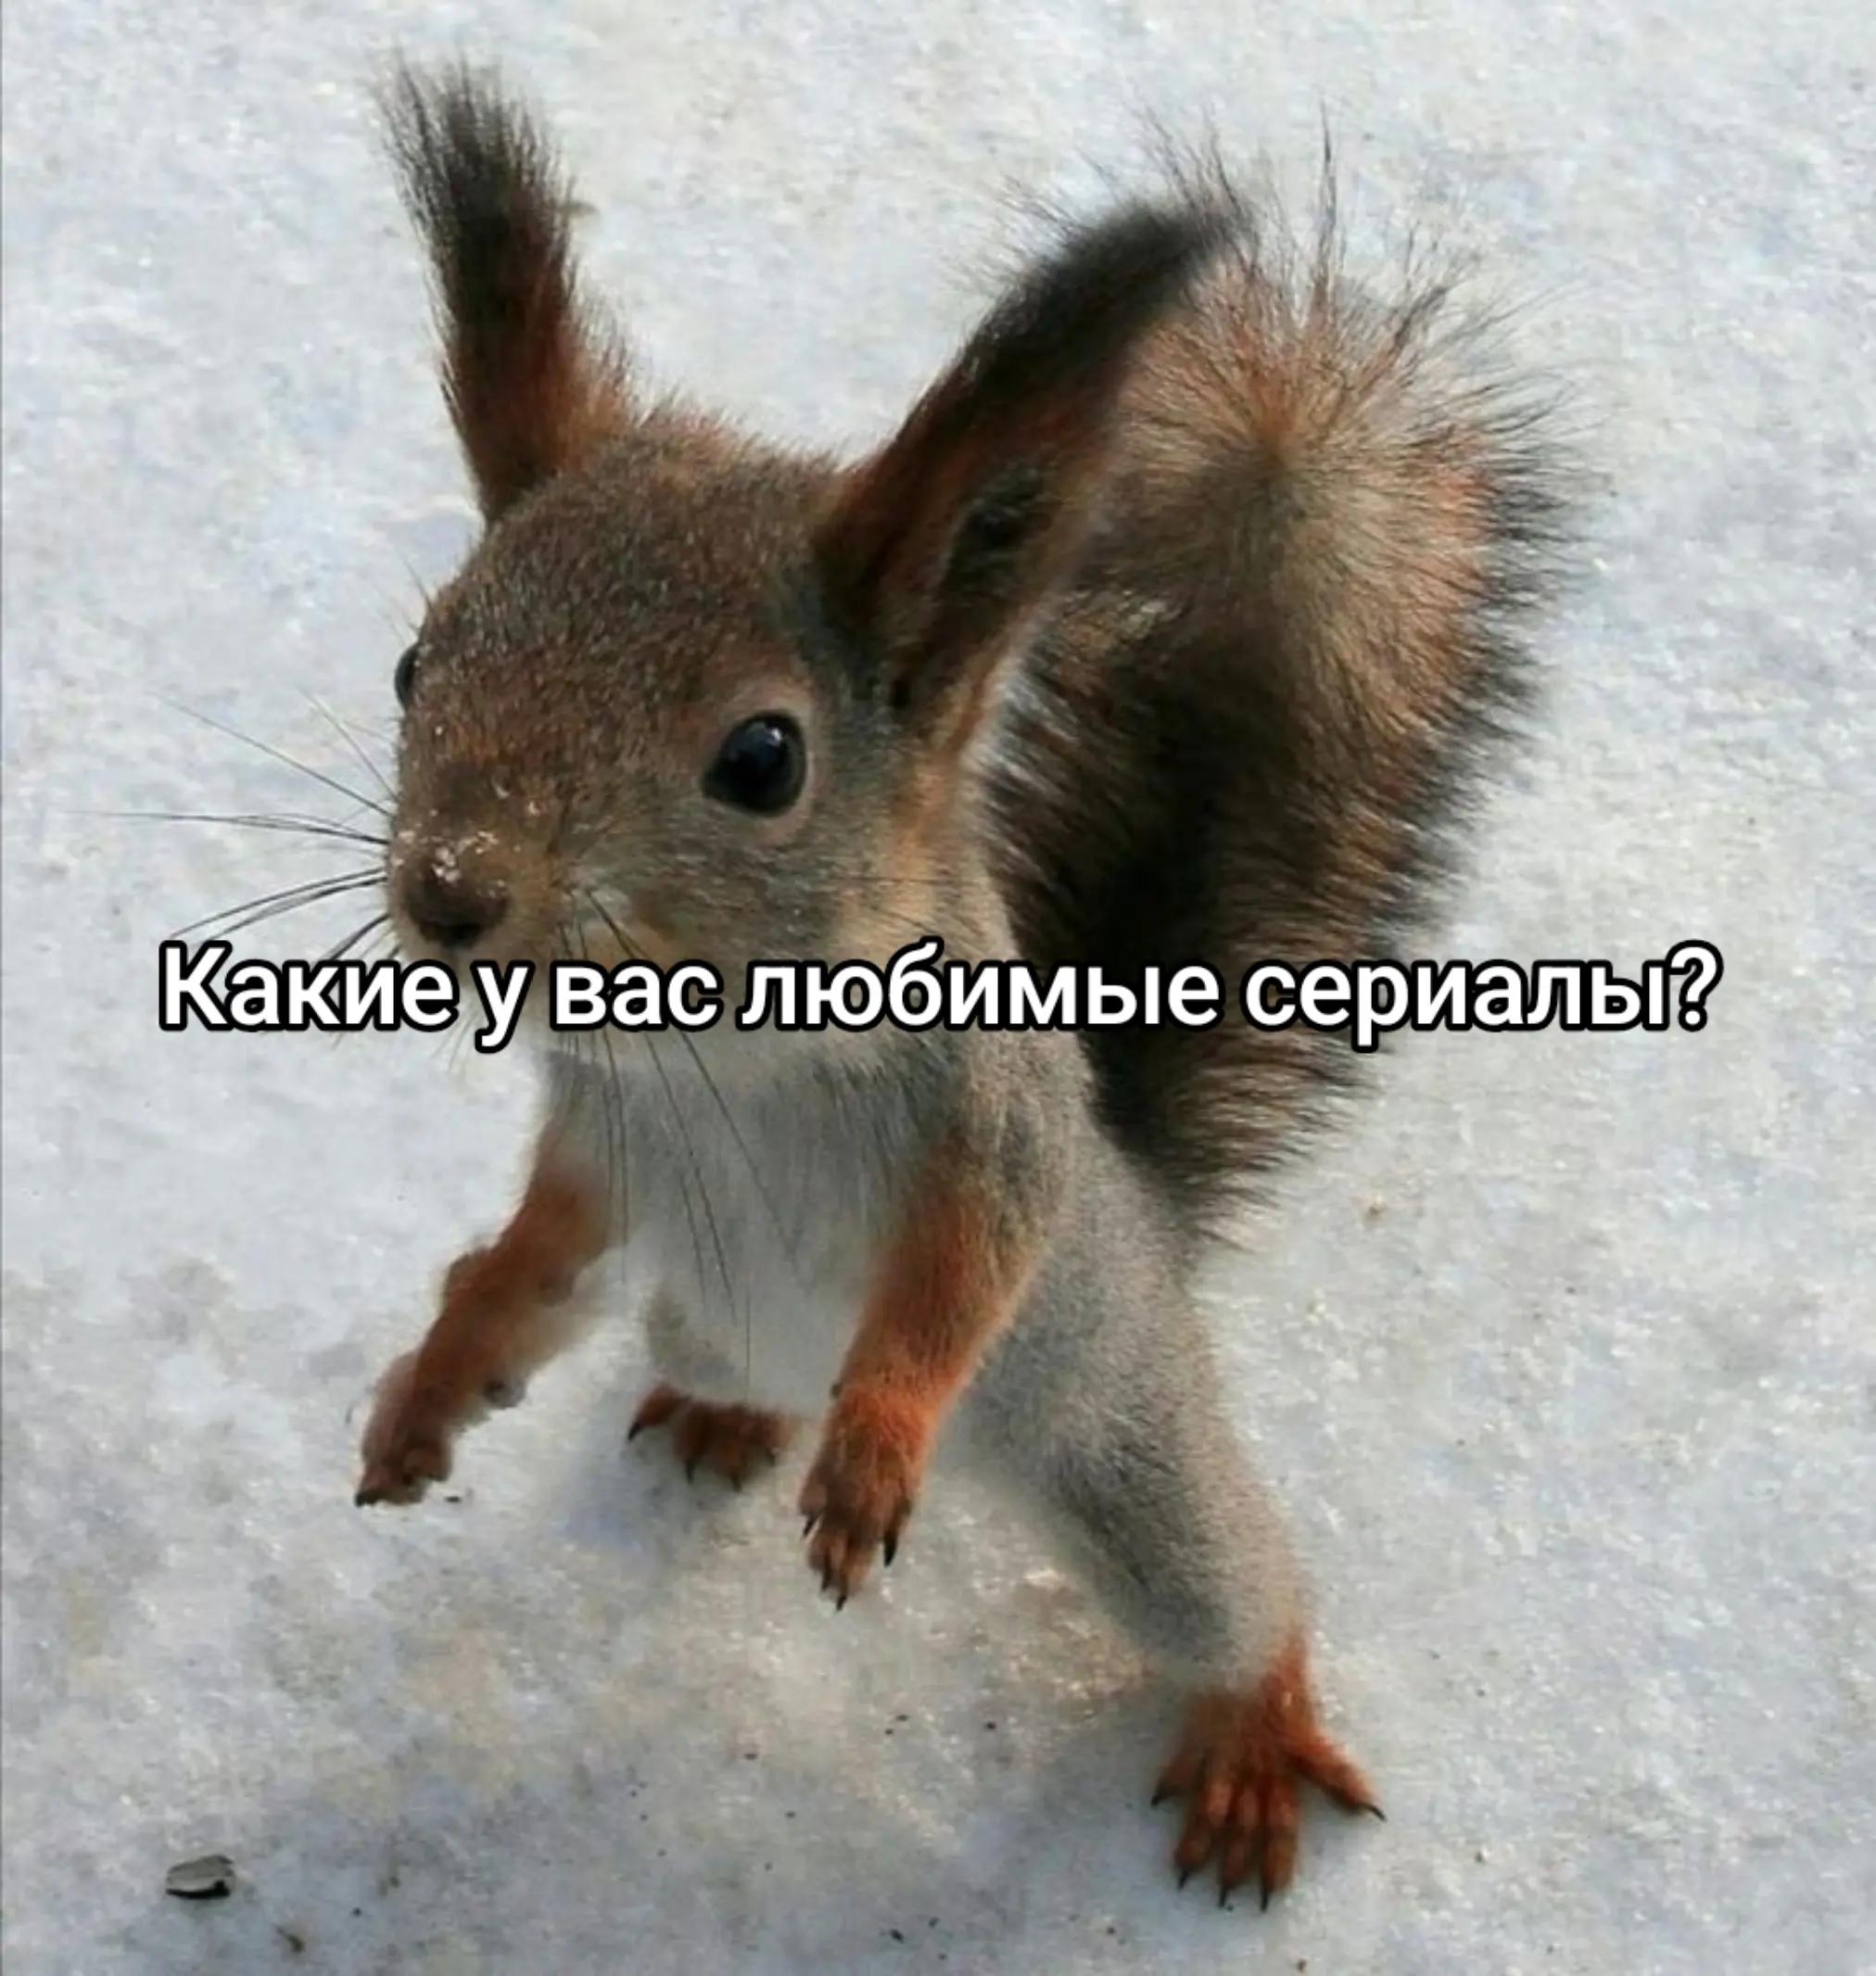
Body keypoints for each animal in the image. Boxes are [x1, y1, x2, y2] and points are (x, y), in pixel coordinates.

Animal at [353, 63, 1565, 1910]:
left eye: (761, 758)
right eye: (420, 659)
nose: (450, 890)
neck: (715, 1049)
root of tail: (1152, 1218)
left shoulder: (987, 1124)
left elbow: (954, 1275)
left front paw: (877, 1442)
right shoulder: (605, 1149)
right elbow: (530, 1257)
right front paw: (433, 1374)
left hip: (1127, 1453)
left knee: (1237, 1593)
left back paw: (1248, 1731)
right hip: (696, 1302)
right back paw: (724, 1414)